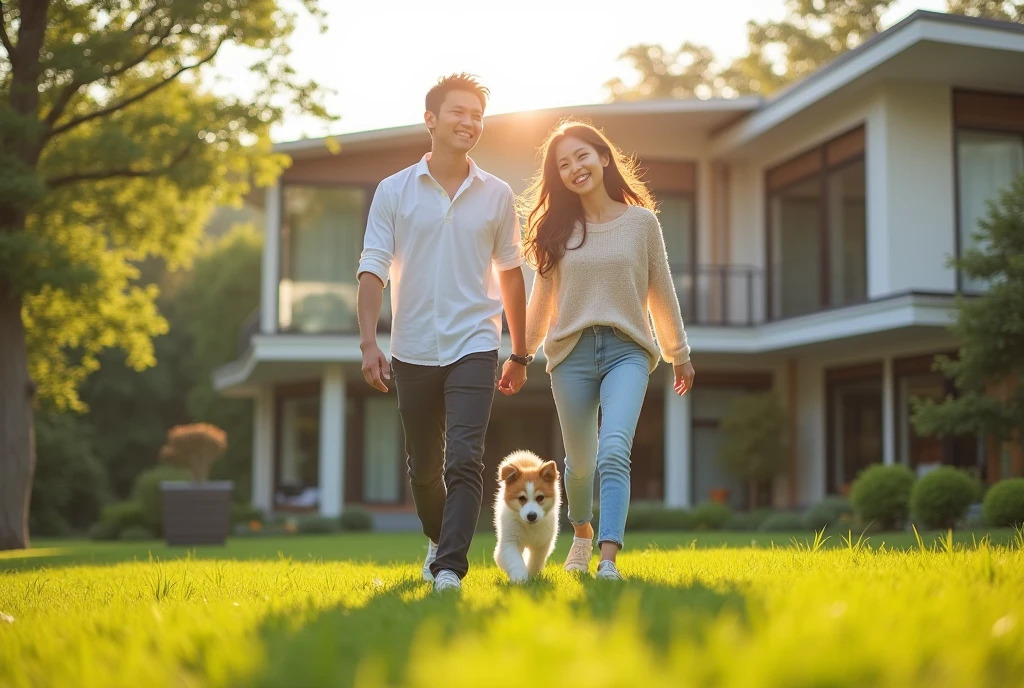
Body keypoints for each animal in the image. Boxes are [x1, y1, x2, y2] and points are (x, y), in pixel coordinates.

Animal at [493, 448, 565, 581]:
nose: (531, 516)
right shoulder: (510, 540)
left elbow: (535, 561)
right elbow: (514, 559)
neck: (529, 528)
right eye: (522, 498)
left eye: (540, 497)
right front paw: (519, 577)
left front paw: (532, 576)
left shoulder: (542, 543)